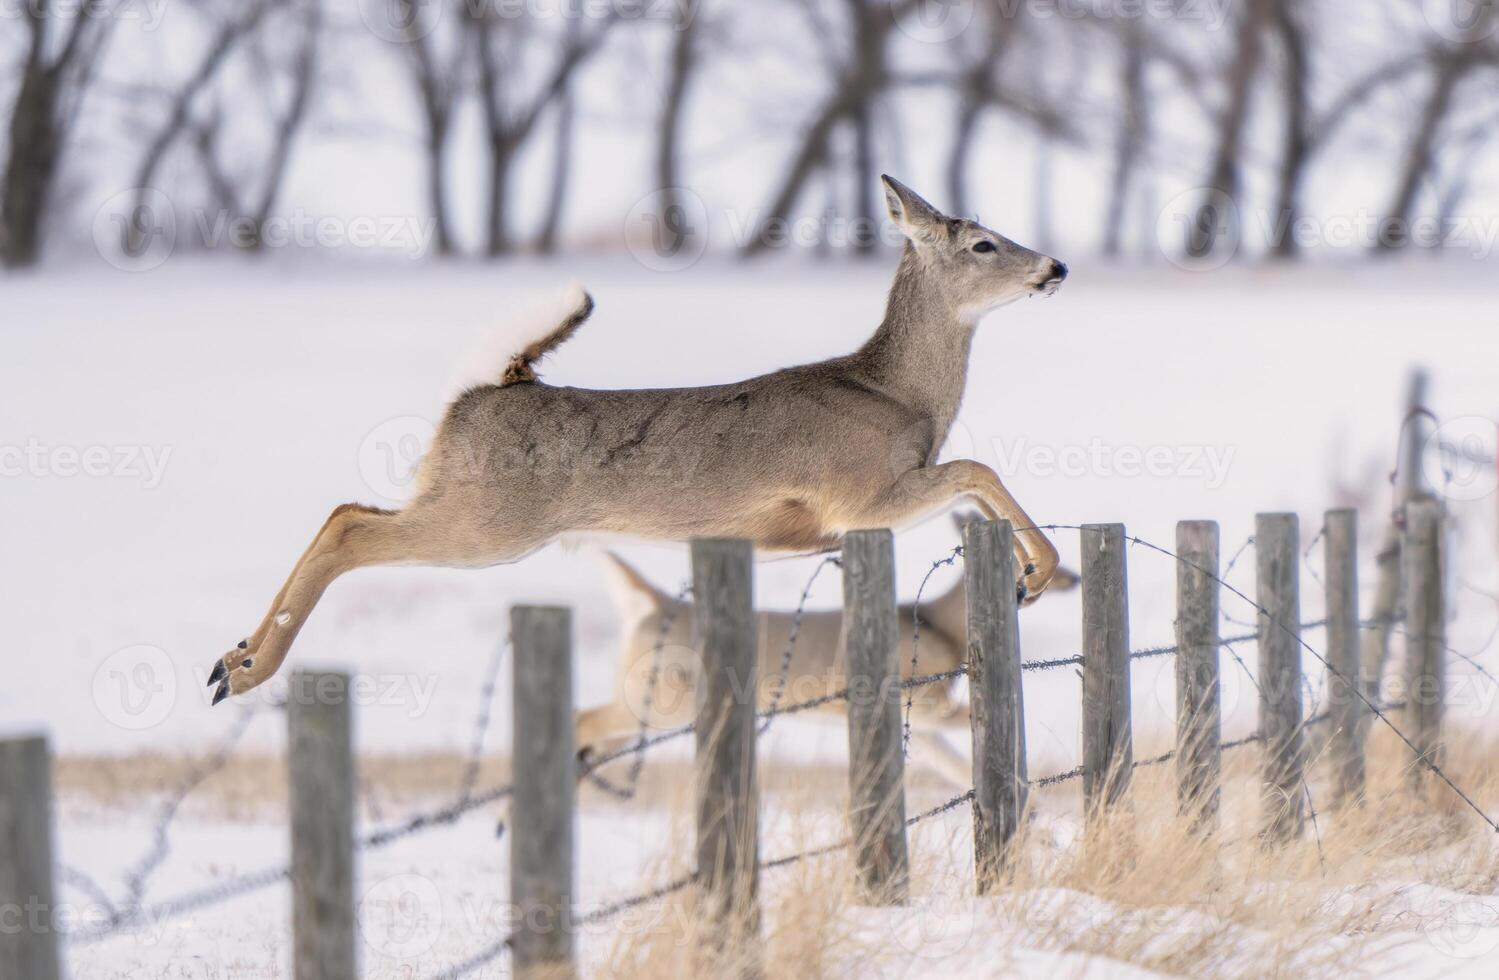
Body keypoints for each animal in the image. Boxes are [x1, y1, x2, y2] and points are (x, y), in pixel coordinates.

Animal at [208, 176, 1067, 707]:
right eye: (983, 244)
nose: (1055, 266)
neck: (899, 395)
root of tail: (491, 387)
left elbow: (973, 474)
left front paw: (1032, 573)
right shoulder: (860, 495)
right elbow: (975, 466)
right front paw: (1038, 574)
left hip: (468, 509)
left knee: (344, 511)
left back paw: (231, 659)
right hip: (488, 520)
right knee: (349, 527)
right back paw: (246, 672)